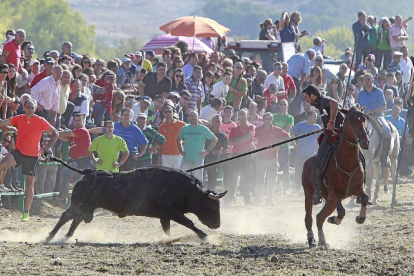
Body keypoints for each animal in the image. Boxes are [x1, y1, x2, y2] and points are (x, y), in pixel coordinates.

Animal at [43, 157, 226, 244]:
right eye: (213, 205)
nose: (217, 224)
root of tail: (89, 173)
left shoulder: (165, 216)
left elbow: (167, 229)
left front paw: (168, 239)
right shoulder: (173, 212)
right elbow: (189, 223)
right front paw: (204, 236)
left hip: (86, 208)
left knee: (75, 219)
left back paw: (67, 236)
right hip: (80, 205)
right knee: (66, 216)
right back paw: (50, 237)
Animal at [300, 106, 372, 248]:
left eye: (363, 119)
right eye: (351, 121)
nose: (365, 142)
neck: (347, 162)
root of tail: (307, 162)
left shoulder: (358, 187)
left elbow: (365, 198)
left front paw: (360, 218)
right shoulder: (334, 192)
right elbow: (342, 211)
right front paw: (334, 219)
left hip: (329, 202)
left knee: (319, 217)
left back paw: (323, 240)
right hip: (309, 192)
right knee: (309, 217)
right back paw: (312, 239)